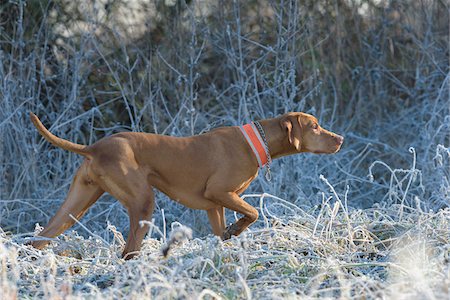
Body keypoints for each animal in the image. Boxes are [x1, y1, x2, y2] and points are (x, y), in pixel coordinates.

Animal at [29, 111, 342, 258]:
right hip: (142, 200)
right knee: (128, 250)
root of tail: (94, 147)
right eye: (314, 126)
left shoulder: (215, 205)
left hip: (77, 203)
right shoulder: (219, 191)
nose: (340, 139)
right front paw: (237, 229)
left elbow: (222, 231)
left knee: (41, 237)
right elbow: (253, 213)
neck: (255, 142)